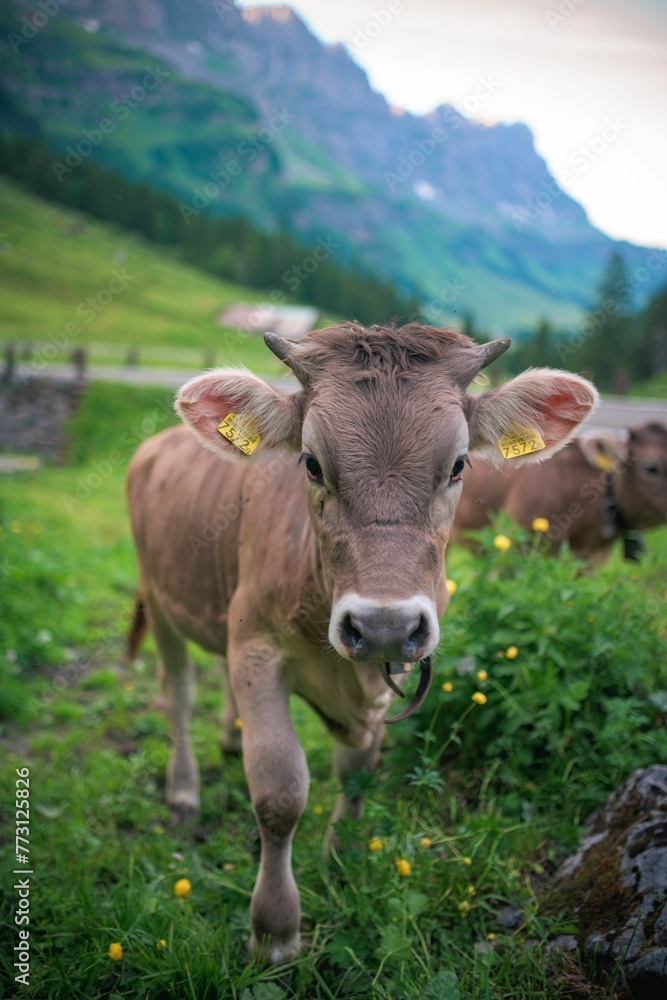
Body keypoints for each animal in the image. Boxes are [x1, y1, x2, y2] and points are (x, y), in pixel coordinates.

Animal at [126, 322, 598, 963]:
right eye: (311, 464)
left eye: (458, 465)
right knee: (176, 692)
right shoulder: (256, 646)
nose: (383, 625)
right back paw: (183, 791)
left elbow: (358, 769)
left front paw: (342, 857)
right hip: (159, 596)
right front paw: (274, 931)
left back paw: (227, 735)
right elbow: (279, 793)